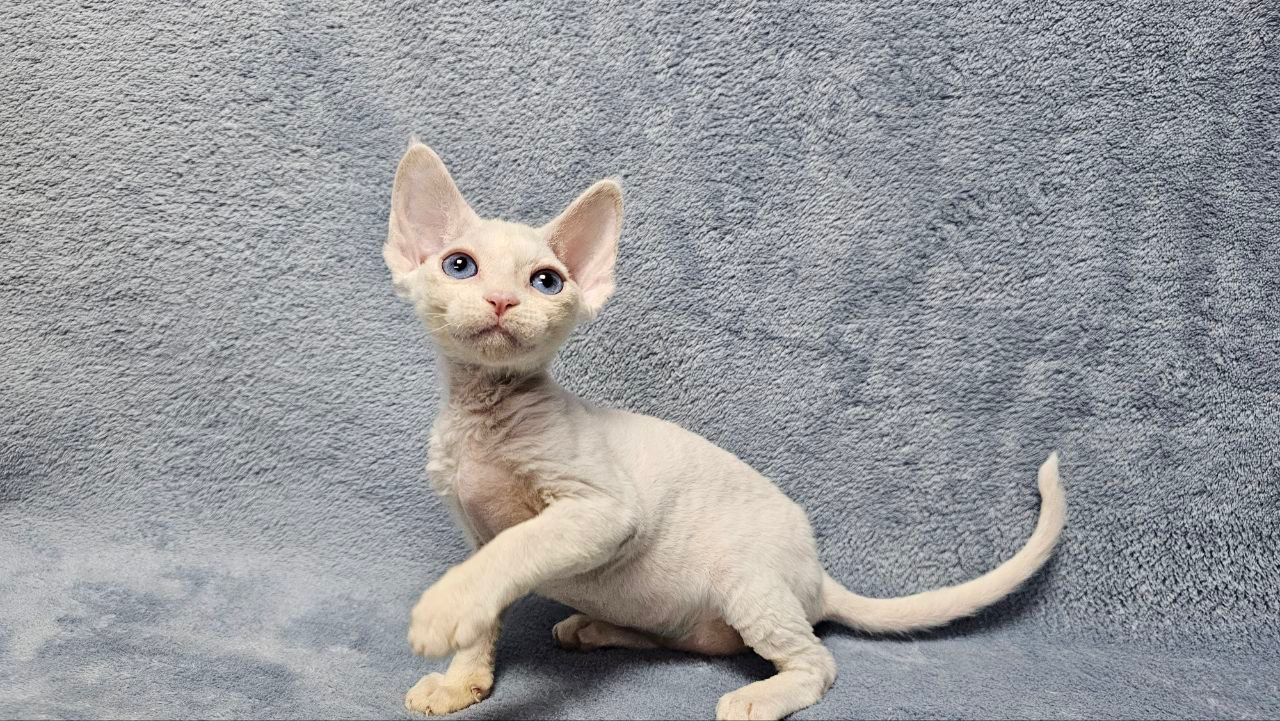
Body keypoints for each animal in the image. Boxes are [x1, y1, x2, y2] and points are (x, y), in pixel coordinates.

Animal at [384, 141, 1066, 721]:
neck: (482, 414)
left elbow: (515, 549)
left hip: (751, 584)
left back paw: (759, 697)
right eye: (460, 266)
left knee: (818, 662)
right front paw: (462, 683)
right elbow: (486, 604)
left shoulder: (600, 507)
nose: (502, 301)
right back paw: (596, 628)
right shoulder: (474, 529)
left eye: (546, 281)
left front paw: (444, 610)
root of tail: (816, 576)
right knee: (690, 641)